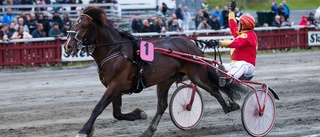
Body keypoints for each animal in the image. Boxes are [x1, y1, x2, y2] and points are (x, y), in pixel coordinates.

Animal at [63, 5, 244, 137]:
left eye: (84, 25)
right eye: (72, 24)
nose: (68, 46)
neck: (114, 50)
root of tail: (193, 45)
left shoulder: (116, 84)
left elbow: (98, 108)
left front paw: (83, 131)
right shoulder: (114, 87)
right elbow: (117, 113)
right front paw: (139, 114)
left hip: (197, 75)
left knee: (214, 90)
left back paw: (230, 106)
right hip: (165, 80)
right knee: (162, 105)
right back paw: (149, 130)